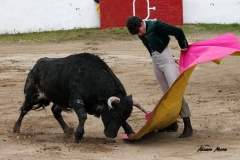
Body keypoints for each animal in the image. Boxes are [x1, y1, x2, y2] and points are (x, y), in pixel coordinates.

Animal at [12, 53, 142, 143]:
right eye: (114, 114)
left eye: (126, 115)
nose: (111, 135)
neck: (93, 80)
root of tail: (36, 65)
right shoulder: (76, 100)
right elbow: (83, 115)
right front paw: (78, 136)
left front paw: (131, 132)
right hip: (32, 96)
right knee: (24, 109)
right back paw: (15, 128)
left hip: (60, 99)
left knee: (55, 111)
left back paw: (67, 130)